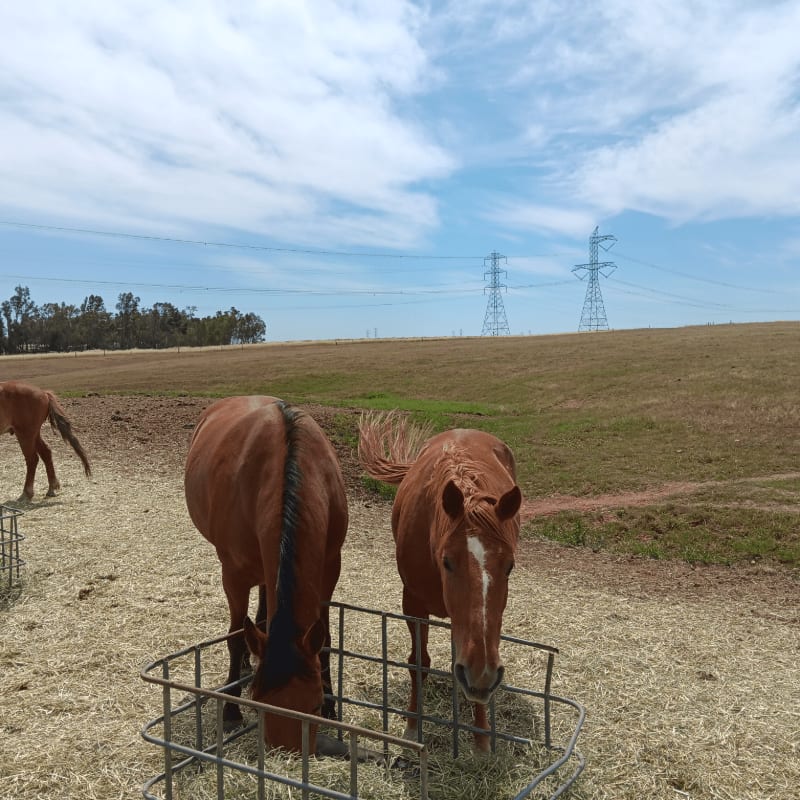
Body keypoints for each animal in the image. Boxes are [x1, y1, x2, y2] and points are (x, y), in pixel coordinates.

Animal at [184, 396, 348, 754]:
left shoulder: (331, 567)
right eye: (258, 702)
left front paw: (334, 703)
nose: (289, 751)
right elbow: (234, 637)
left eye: (315, 706)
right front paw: (232, 711)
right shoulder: (232, 574)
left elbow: (326, 638)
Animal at [358, 411, 522, 752]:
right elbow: (418, 663)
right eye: (447, 561)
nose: (481, 675)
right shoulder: (413, 604)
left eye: (509, 566)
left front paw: (481, 738)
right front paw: (411, 726)